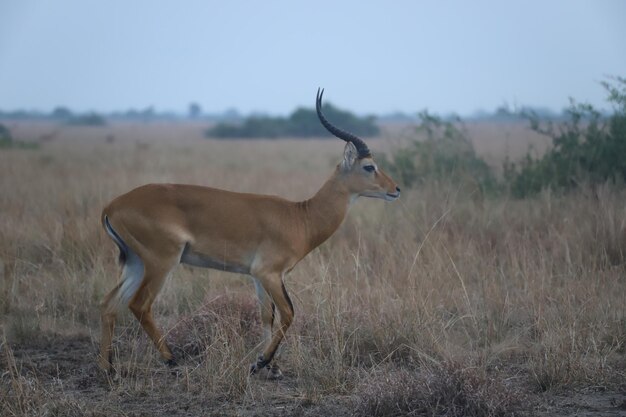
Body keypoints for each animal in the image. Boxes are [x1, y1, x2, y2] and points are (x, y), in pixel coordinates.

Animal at [98, 88, 400, 376]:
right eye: (369, 166)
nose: (395, 189)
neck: (300, 217)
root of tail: (112, 206)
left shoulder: (258, 276)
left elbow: (267, 315)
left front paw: (271, 367)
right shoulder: (270, 273)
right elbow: (288, 313)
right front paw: (261, 363)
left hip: (136, 263)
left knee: (109, 304)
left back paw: (109, 369)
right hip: (161, 263)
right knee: (139, 305)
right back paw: (172, 361)